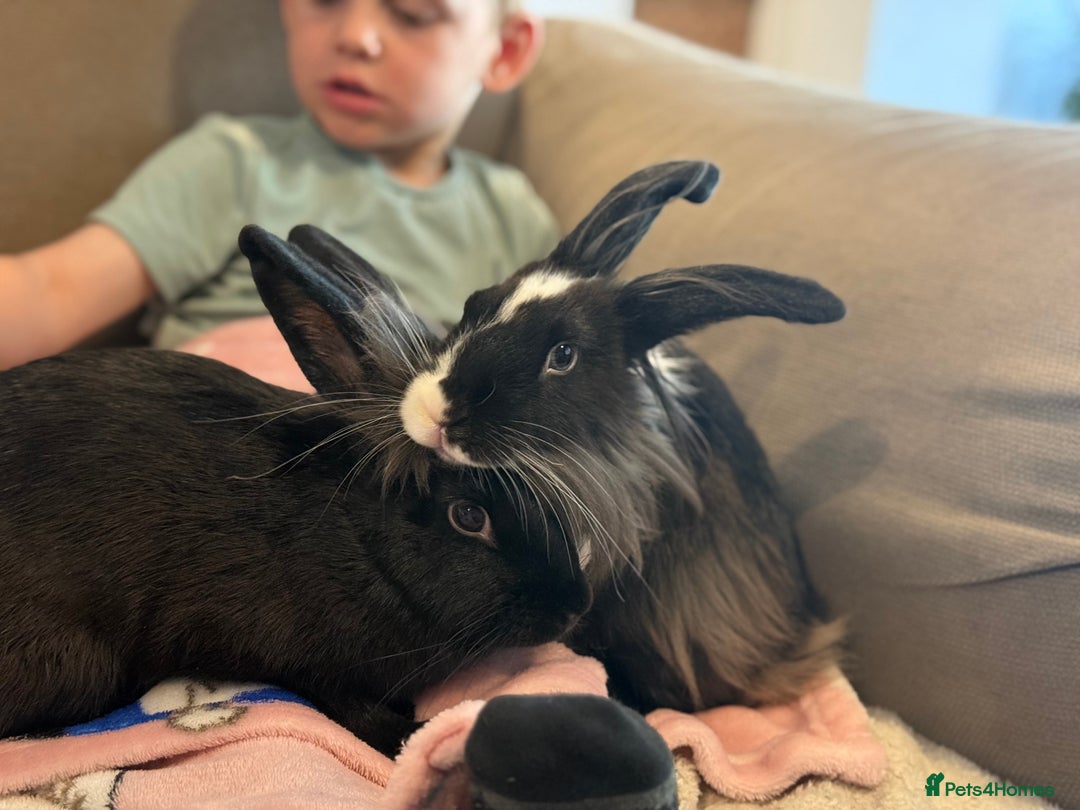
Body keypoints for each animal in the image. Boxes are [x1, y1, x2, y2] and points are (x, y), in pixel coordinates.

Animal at [0, 225, 588, 757]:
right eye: (468, 516)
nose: (574, 607)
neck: (366, 546)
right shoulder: (324, 668)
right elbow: (359, 714)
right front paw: (414, 734)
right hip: (78, 665)